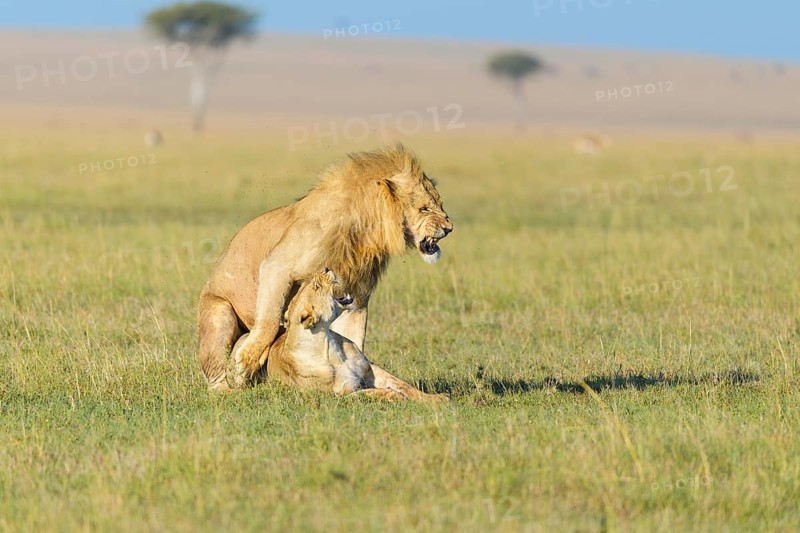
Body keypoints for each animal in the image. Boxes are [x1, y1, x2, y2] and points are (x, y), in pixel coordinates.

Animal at [232, 268, 446, 402]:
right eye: (316, 287)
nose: (326, 268)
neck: (330, 347)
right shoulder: (338, 394)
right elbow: (369, 393)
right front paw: (393, 396)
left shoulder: (370, 370)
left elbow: (404, 385)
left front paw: (436, 398)